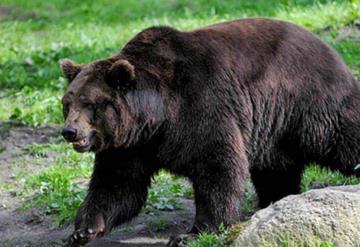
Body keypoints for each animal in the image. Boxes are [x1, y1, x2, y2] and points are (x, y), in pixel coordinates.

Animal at [60, 18, 358, 246]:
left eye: (90, 103)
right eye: (67, 102)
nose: (69, 131)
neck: (155, 117)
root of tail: (328, 47)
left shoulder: (201, 107)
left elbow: (217, 168)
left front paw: (191, 234)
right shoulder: (130, 146)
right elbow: (117, 185)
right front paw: (83, 230)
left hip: (309, 103)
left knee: (343, 135)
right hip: (274, 130)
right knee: (276, 170)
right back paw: (273, 201)